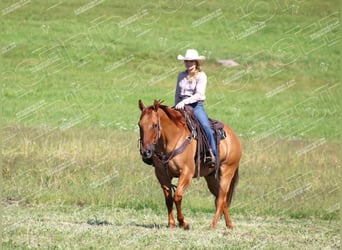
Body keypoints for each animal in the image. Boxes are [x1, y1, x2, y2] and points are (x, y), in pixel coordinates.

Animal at [138, 99, 242, 229]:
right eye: (139, 125)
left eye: (155, 125)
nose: (145, 152)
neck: (171, 140)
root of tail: (234, 137)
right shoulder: (162, 175)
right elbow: (168, 199)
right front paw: (171, 224)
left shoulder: (186, 173)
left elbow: (177, 196)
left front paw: (183, 222)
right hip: (211, 177)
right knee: (221, 199)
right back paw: (229, 225)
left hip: (227, 172)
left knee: (221, 198)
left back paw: (213, 225)